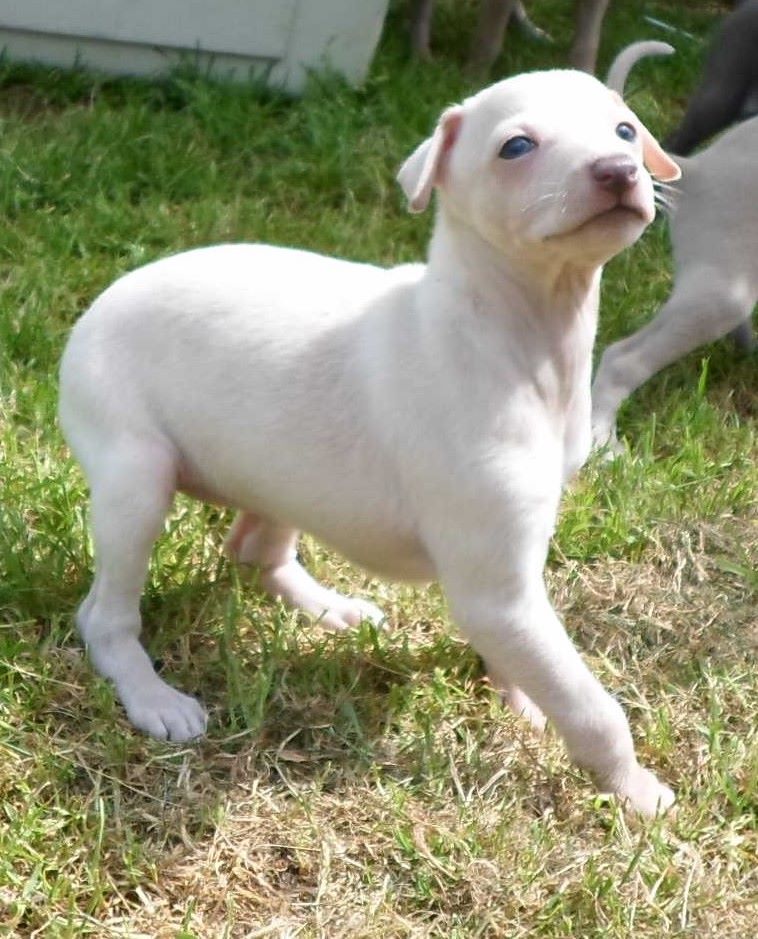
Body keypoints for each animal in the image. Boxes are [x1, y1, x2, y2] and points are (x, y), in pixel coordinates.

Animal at [59, 68, 684, 816]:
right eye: (517, 146)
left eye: (624, 131)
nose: (620, 170)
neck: (514, 335)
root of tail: (95, 306)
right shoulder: (495, 590)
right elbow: (591, 704)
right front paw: (635, 789)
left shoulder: (509, 583)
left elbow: (529, 659)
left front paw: (522, 699)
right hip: (137, 479)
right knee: (104, 616)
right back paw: (154, 695)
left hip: (280, 467)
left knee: (252, 552)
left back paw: (335, 609)